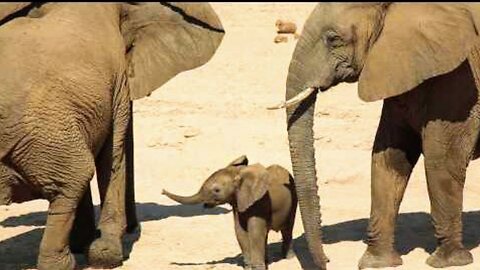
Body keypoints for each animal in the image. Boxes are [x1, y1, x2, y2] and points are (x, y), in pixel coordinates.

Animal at [0, 2, 224, 270]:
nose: (133, 227)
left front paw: (86, 245)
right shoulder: (116, 83)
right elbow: (114, 155)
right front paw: (106, 255)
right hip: (42, 132)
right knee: (71, 180)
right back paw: (67, 262)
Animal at [162, 155, 296, 270]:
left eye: (216, 190)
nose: (162, 191)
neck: (239, 173)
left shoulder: (260, 202)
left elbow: (255, 232)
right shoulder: (238, 202)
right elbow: (240, 232)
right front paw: (248, 267)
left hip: (293, 196)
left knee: (287, 229)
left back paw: (289, 258)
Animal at [268, 3, 480, 270]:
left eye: (333, 39)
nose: (328, 260)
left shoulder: (461, 80)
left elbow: (442, 160)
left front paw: (449, 261)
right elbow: (389, 157)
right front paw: (377, 263)